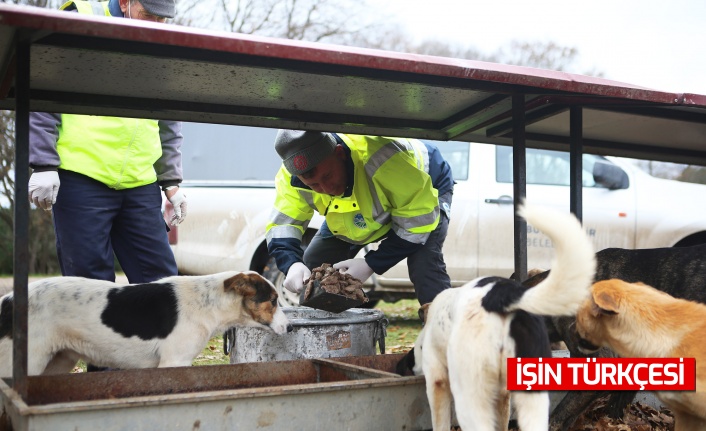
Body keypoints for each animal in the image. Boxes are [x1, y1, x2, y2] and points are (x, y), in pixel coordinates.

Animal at [0, 272, 292, 376]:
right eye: (274, 300)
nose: (289, 328)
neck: (209, 301)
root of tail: (8, 300)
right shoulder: (174, 363)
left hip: (58, 362)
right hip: (27, 361)